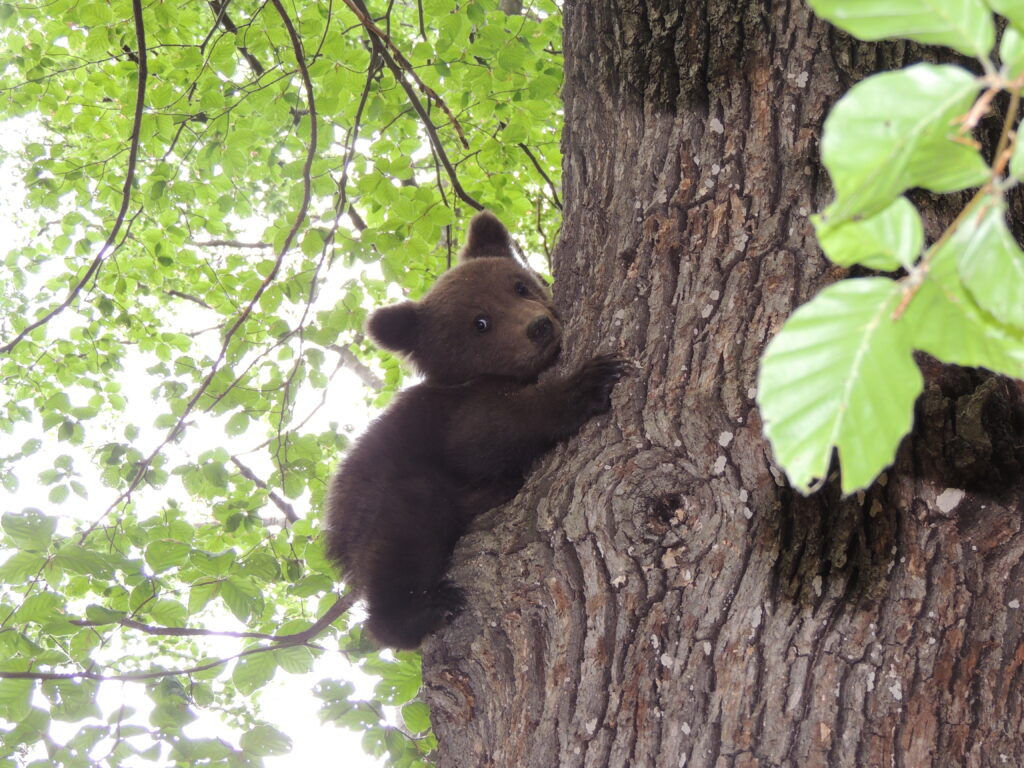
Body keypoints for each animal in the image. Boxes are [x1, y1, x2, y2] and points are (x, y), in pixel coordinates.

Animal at [324, 211, 627, 649]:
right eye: (480, 323)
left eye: (518, 286)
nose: (538, 327)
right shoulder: (454, 414)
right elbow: (490, 433)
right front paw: (589, 382)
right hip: (389, 501)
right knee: (406, 536)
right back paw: (417, 613)